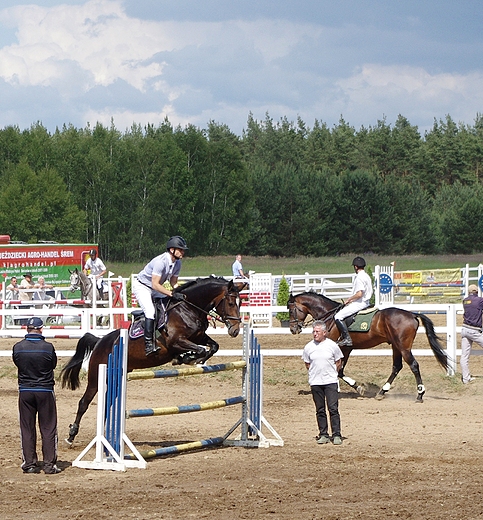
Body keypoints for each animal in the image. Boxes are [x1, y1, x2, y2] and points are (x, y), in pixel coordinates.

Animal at [60, 278, 242, 444]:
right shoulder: (176, 341)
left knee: (107, 404)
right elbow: (201, 349)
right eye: (231, 303)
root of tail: (100, 341)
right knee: (84, 402)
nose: (235, 330)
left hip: (116, 377)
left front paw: (188, 358)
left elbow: (213, 346)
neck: (188, 308)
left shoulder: (199, 337)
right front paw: (186, 358)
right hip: (96, 377)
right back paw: (71, 435)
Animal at [288, 292, 450, 402]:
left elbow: (339, 371)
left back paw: (419, 394)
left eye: (291, 310)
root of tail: (411, 314)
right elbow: (339, 371)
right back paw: (382, 392)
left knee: (414, 365)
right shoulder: (346, 349)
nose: (293, 329)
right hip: (396, 346)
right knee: (396, 367)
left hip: (403, 347)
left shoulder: (342, 348)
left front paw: (358, 387)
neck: (330, 317)